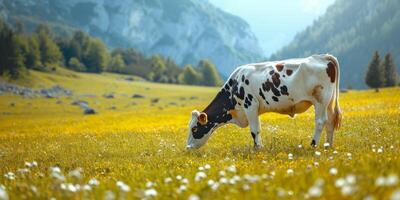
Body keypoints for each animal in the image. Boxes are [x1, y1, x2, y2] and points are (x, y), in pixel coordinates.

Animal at [186, 54, 342, 149]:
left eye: (194, 128)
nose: (188, 148)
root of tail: (323, 57)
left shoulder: (250, 105)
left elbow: (255, 130)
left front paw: (257, 148)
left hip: (320, 100)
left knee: (321, 121)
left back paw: (313, 145)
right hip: (328, 101)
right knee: (330, 121)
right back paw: (328, 145)